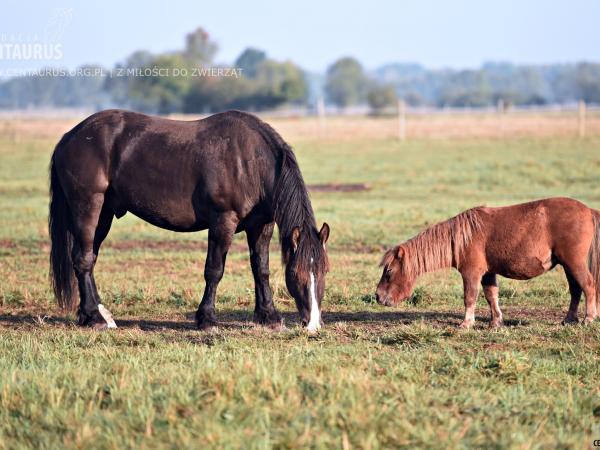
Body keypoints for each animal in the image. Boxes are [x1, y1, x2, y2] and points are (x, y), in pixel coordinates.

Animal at [49, 110, 330, 330]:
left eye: (324, 270)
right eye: (295, 273)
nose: (313, 324)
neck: (250, 162)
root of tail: (70, 137)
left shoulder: (261, 226)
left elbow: (260, 269)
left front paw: (269, 317)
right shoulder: (222, 222)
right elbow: (214, 270)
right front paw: (207, 320)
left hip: (104, 214)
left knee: (89, 259)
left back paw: (98, 314)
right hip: (88, 207)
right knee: (83, 259)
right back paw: (94, 318)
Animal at [376, 199, 600, 328]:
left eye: (389, 271)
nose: (377, 296)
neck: (462, 237)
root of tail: (588, 210)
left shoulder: (472, 273)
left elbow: (470, 297)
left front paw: (466, 324)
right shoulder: (488, 274)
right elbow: (492, 296)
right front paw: (496, 322)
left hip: (574, 262)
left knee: (588, 286)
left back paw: (589, 318)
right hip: (567, 265)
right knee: (576, 290)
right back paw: (569, 320)